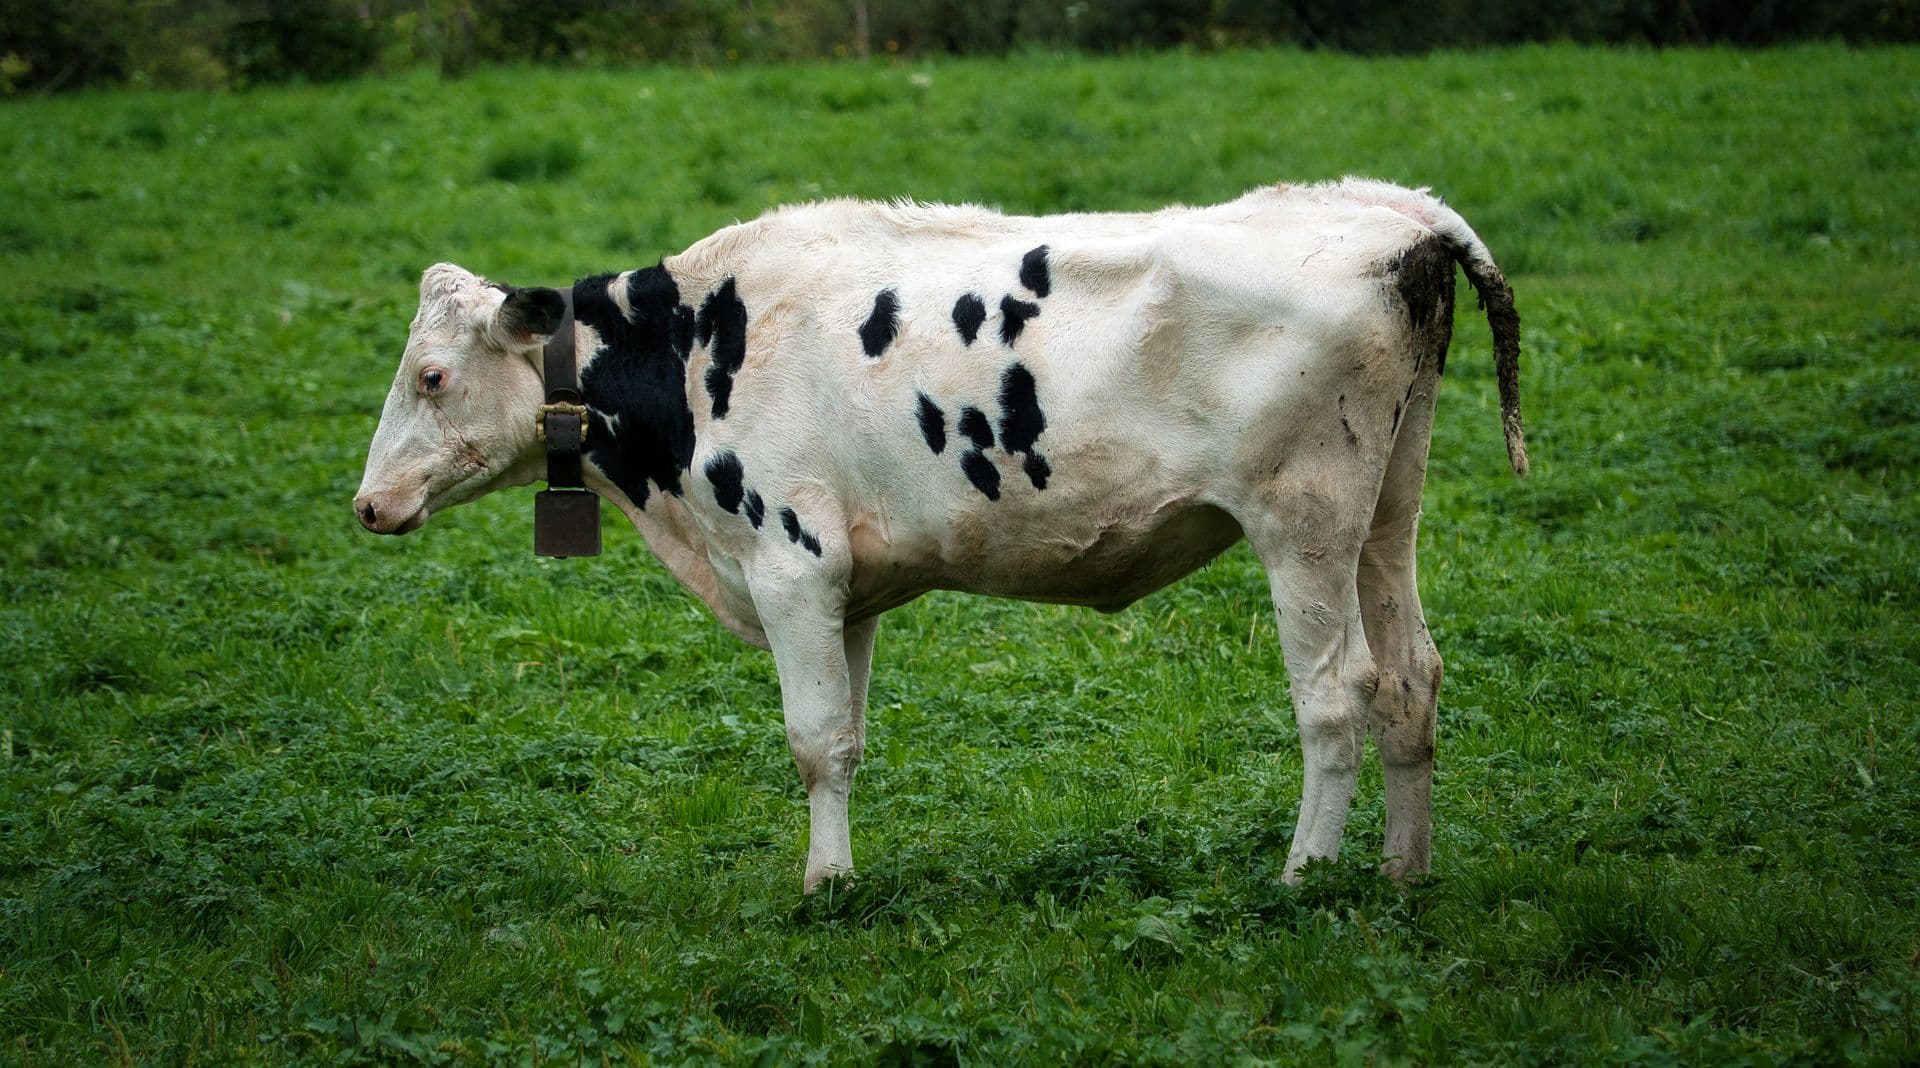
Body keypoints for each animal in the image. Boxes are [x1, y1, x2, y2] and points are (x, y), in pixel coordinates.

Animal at [353, 178, 1527, 893]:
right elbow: (847, 741)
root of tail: (1392, 210)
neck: (694, 347)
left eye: (433, 377)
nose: (367, 504)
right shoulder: (849, 588)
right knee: (1411, 676)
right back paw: (1404, 872)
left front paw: (823, 889)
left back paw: (1302, 880)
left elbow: (811, 740)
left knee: (1337, 695)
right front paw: (841, 875)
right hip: (1386, 511)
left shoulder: (789, 565)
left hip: (1304, 523)